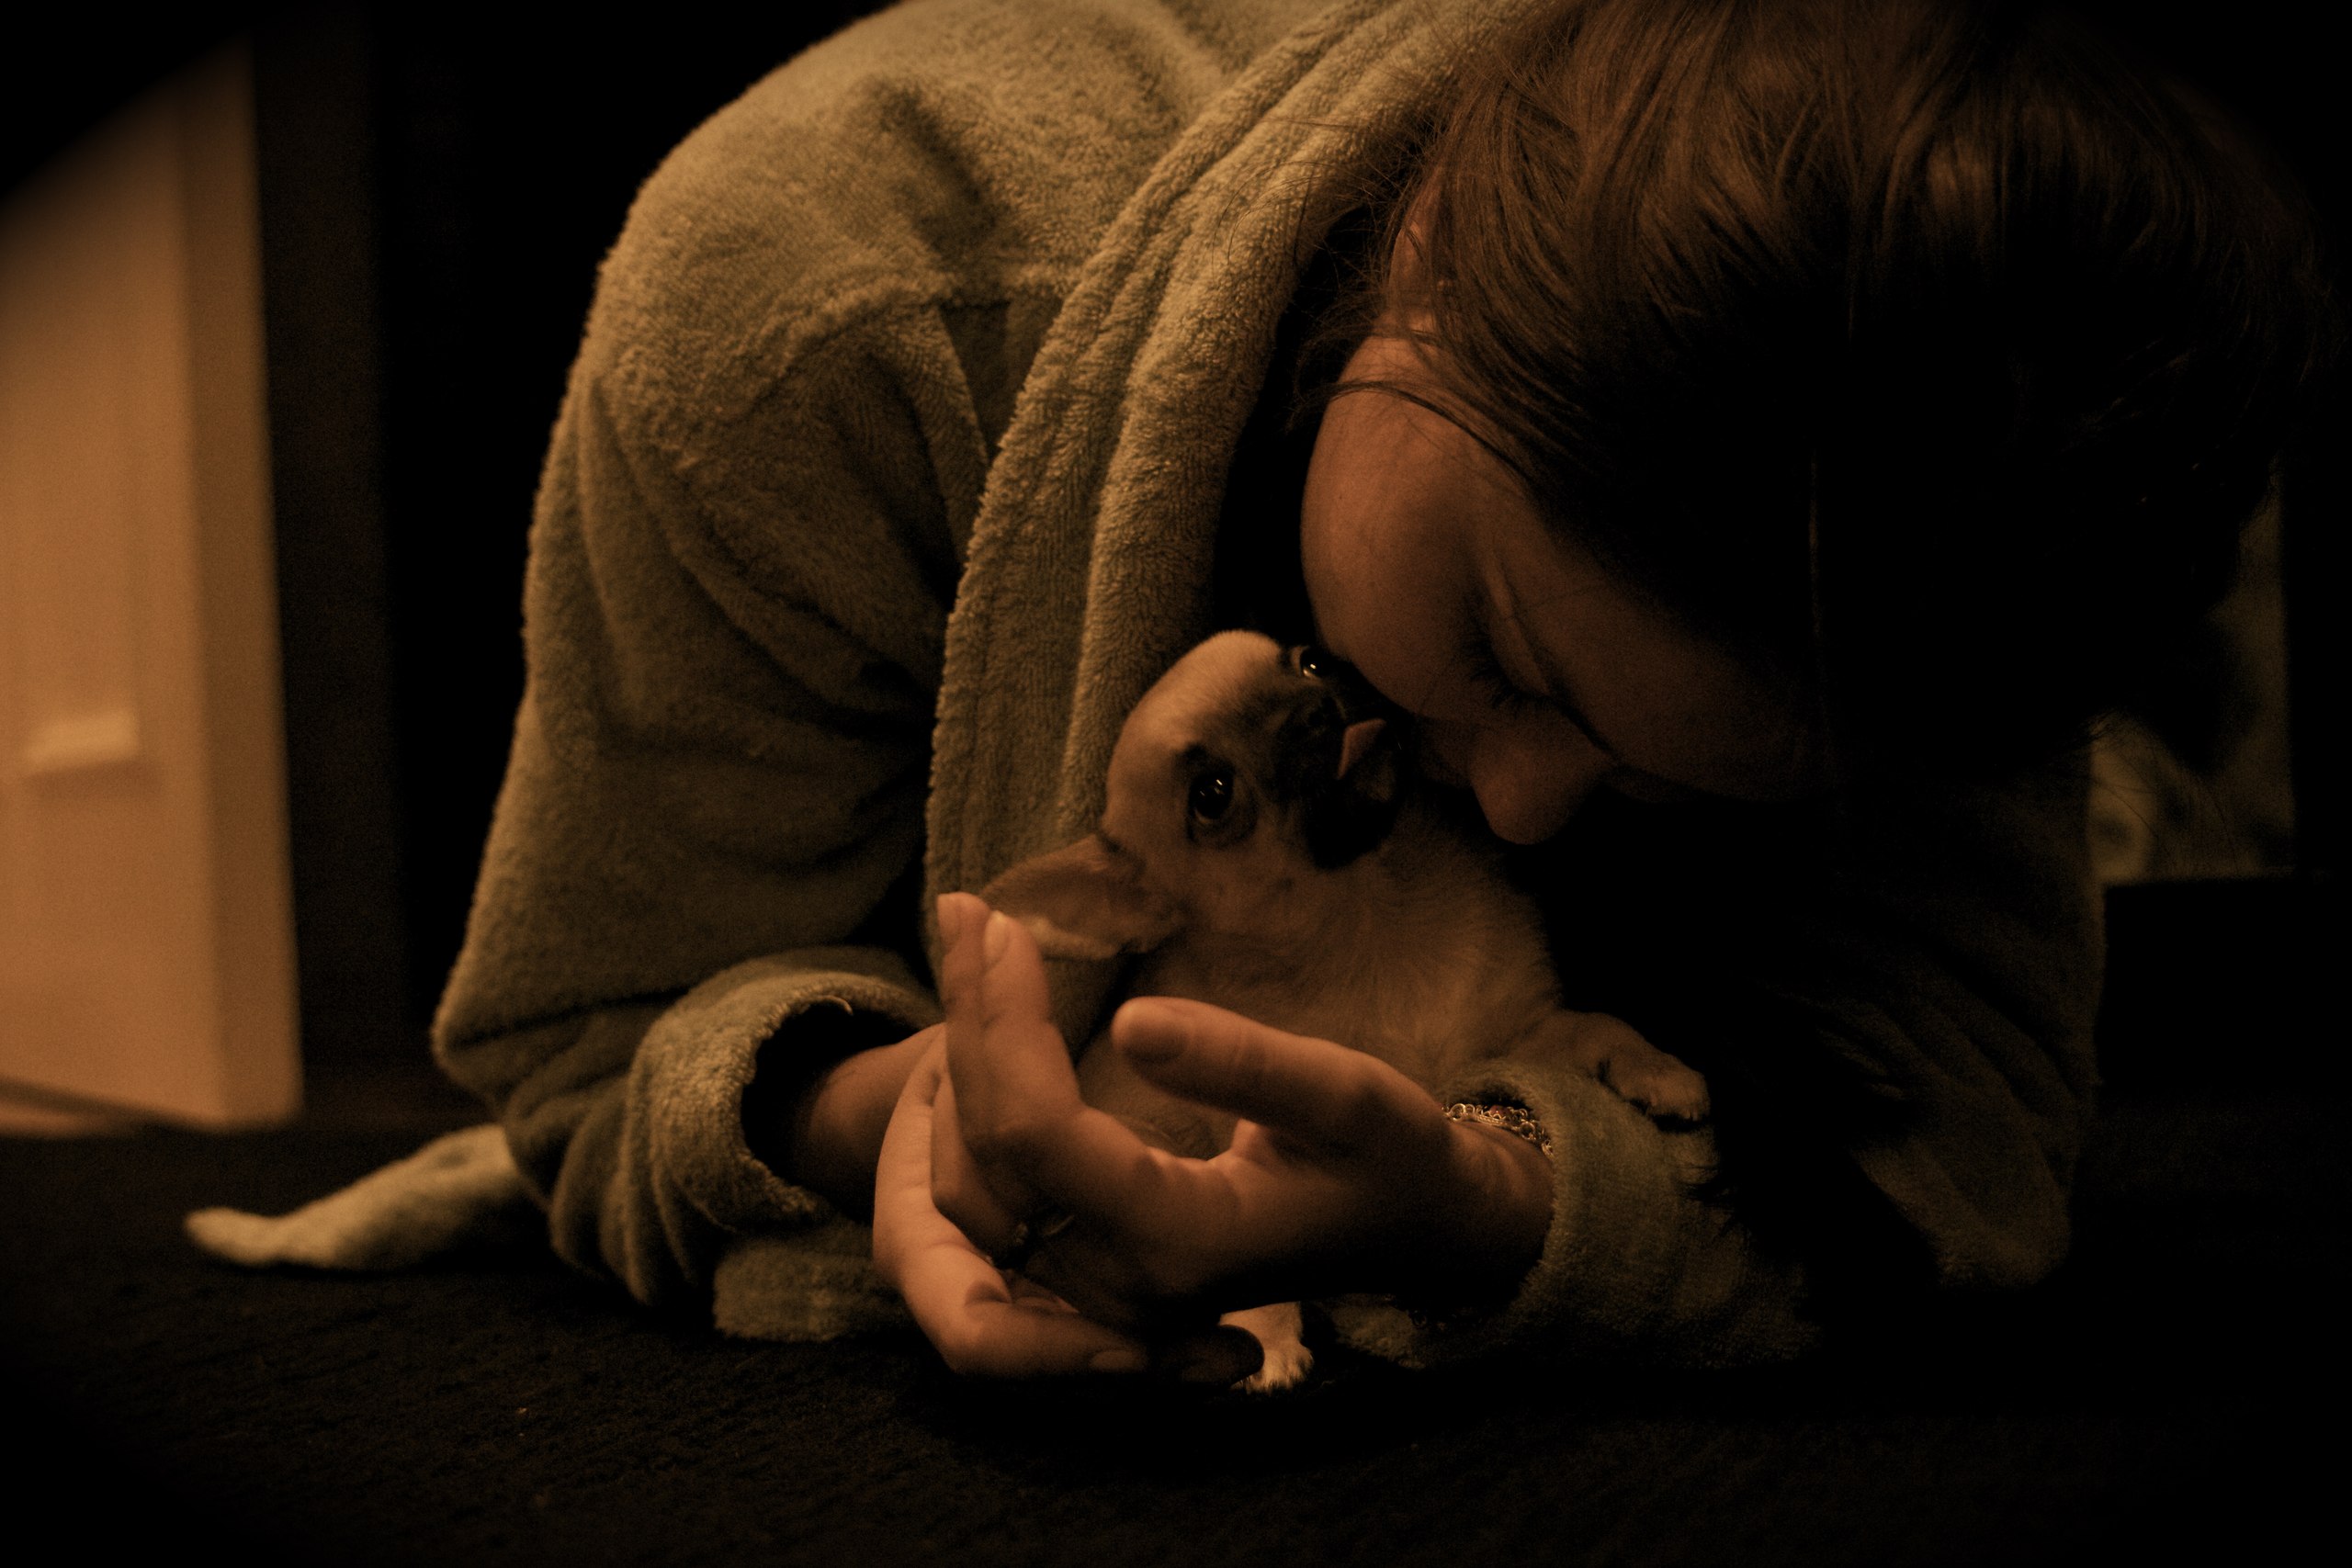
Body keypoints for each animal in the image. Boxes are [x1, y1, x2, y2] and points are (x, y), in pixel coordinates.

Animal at [977, 630, 1706, 1390]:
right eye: (1212, 795)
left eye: (1312, 662)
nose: (1315, 711)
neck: (1369, 906)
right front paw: (1264, 1334)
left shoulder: (1516, 1032)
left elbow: (1596, 1024)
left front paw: (1659, 1070)